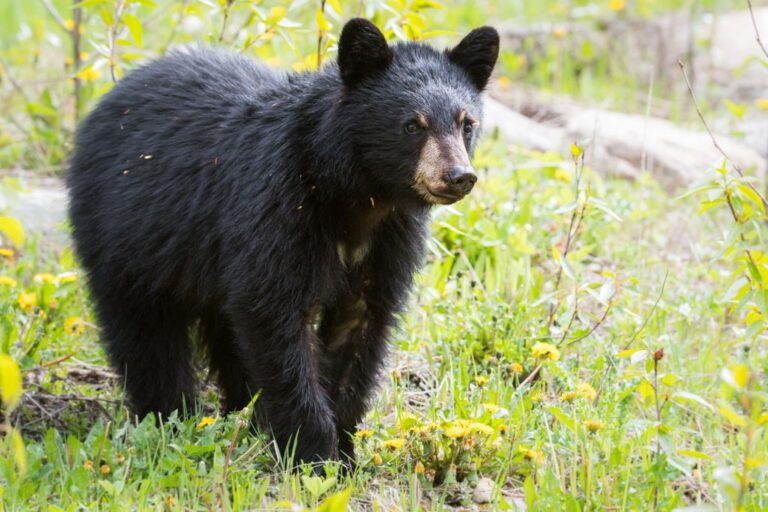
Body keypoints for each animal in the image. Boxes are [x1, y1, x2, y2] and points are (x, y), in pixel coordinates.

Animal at [69, 19, 500, 464]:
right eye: (412, 125)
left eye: (466, 123)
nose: (459, 176)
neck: (355, 196)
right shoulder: (276, 208)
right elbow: (275, 317)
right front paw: (313, 453)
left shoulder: (389, 239)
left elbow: (360, 324)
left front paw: (344, 450)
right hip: (126, 236)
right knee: (145, 333)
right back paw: (169, 415)